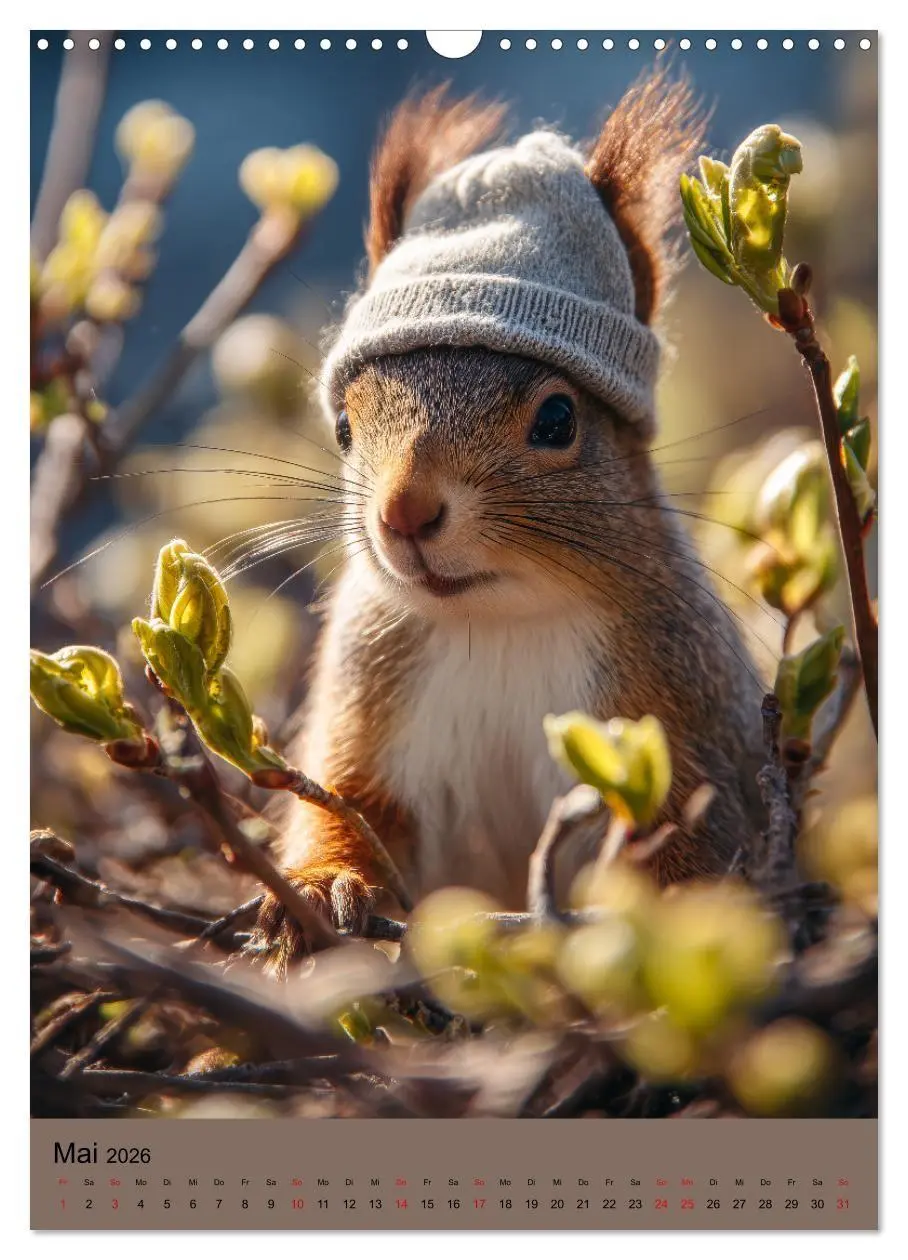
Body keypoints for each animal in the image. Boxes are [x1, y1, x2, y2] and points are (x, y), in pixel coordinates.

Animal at [253, 73, 767, 973]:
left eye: (559, 420)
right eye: (345, 426)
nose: (405, 511)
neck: (500, 620)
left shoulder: (681, 719)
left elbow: (695, 858)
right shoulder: (367, 696)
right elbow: (347, 806)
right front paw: (319, 886)